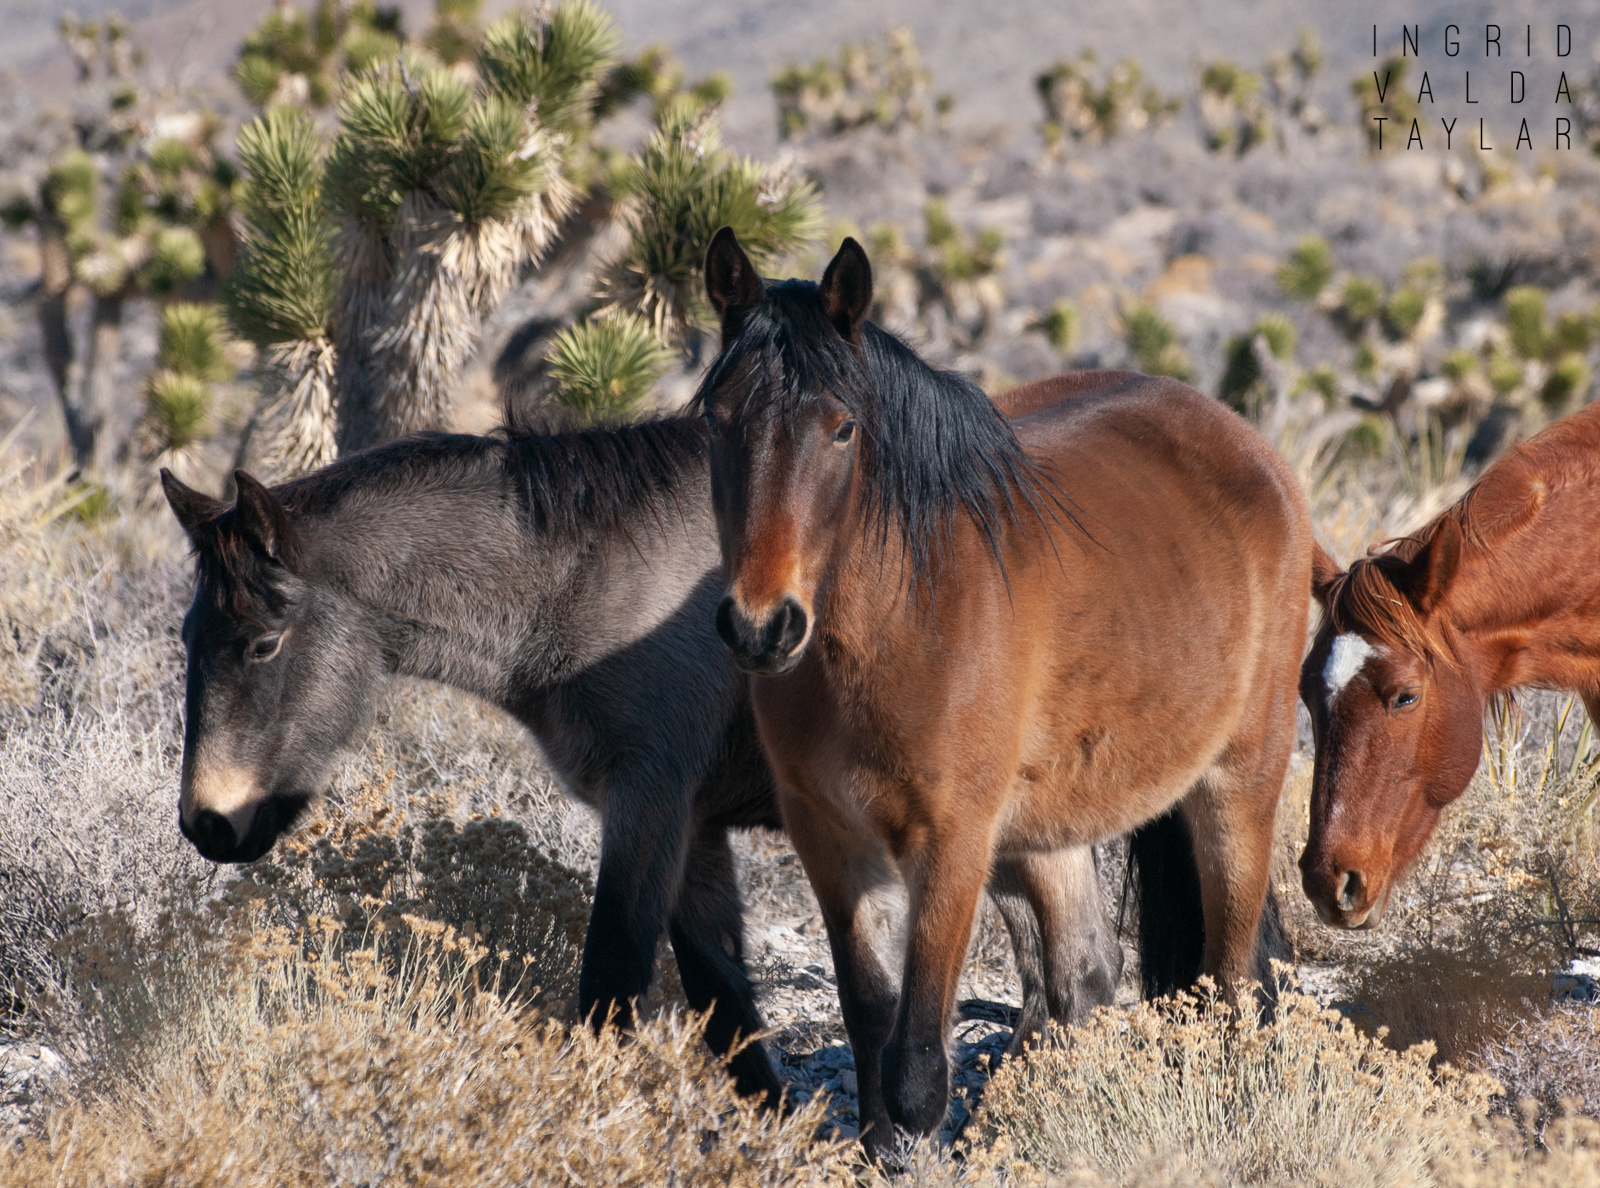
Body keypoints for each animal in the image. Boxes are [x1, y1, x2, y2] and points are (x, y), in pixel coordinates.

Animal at [159, 409, 1190, 1107]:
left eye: (262, 644)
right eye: (187, 636)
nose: (209, 824)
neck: (592, 583)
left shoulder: (649, 804)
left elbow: (615, 985)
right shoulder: (693, 828)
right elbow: (725, 1007)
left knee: (1078, 979)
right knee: (1065, 981)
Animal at [697, 227, 1312, 1159]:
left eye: (842, 429)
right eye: (717, 421)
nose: (761, 626)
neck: (896, 621)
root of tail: (1252, 451)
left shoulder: (952, 844)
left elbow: (915, 1070)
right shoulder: (833, 844)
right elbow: (874, 1041)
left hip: (1235, 786)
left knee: (1233, 978)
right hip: (1045, 829)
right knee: (1083, 978)